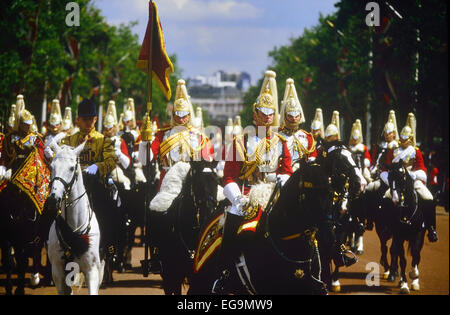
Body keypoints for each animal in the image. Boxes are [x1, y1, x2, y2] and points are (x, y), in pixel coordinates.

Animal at [384, 163, 428, 294]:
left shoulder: (419, 234)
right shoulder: (399, 235)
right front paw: (404, 284)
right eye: (389, 179)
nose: (395, 200)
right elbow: (403, 260)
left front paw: (414, 276)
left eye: (400, 178)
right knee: (395, 252)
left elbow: (416, 254)